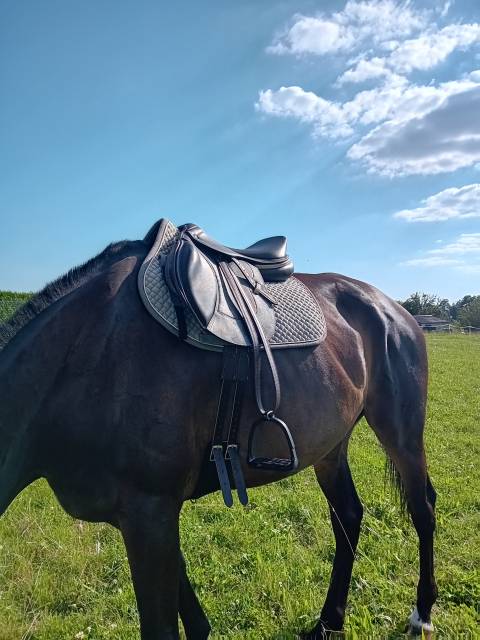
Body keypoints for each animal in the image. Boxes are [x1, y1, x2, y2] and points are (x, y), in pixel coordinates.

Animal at [0, 222, 437, 639]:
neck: (85, 356)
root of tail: (393, 308)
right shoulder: (142, 517)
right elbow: (195, 623)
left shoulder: (149, 511)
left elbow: (161, 629)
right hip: (330, 447)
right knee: (348, 514)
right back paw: (328, 623)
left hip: (401, 433)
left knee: (423, 508)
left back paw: (422, 614)